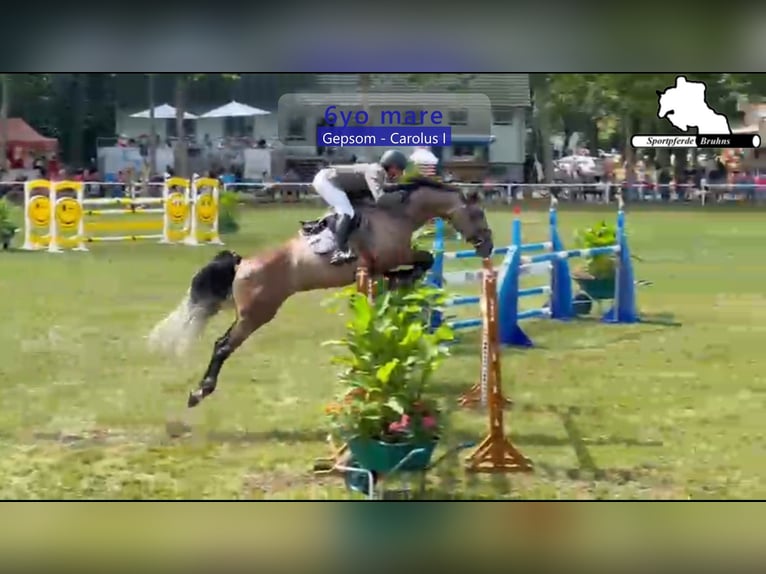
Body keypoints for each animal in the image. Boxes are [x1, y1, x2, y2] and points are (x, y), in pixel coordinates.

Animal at [147, 180, 495, 408]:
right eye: (478, 215)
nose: (488, 246)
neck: (397, 214)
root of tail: (241, 263)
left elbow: (422, 261)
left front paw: (398, 280)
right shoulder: (390, 256)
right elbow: (425, 259)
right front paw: (401, 277)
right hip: (257, 313)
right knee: (222, 346)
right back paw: (200, 392)